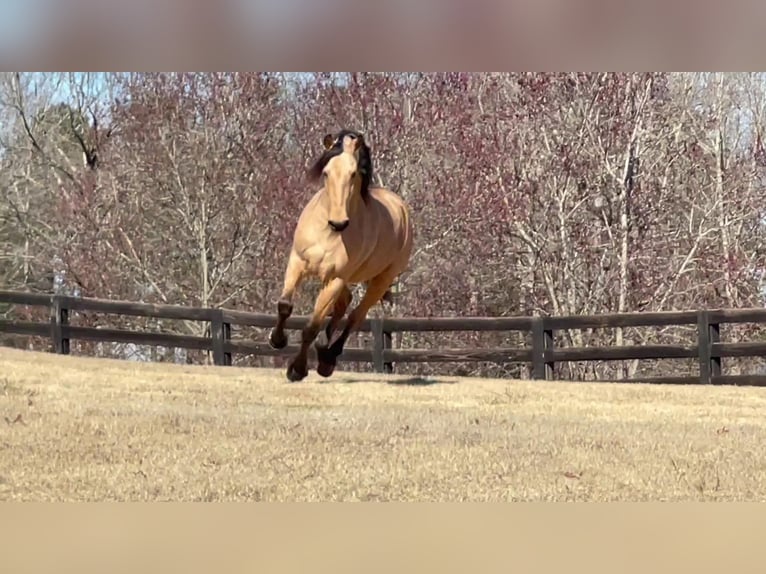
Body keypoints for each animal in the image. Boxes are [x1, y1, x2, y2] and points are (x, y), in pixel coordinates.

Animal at [268, 129, 414, 382]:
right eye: (326, 172)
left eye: (353, 173)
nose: (338, 223)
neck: (327, 232)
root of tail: (400, 206)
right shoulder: (297, 262)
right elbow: (285, 305)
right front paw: (277, 340)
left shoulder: (335, 278)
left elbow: (312, 326)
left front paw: (297, 370)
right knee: (344, 304)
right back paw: (323, 349)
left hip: (379, 280)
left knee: (356, 316)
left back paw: (327, 360)